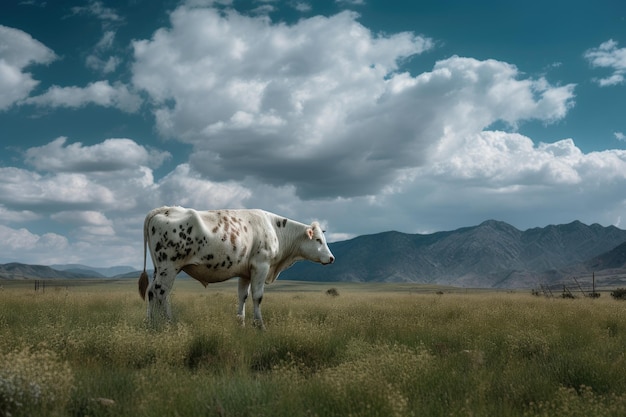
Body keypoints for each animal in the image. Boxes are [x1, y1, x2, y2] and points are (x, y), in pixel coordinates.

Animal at [136, 205, 332, 328]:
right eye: (318, 240)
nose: (331, 258)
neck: (275, 229)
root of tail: (166, 209)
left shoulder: (245, 272)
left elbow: (242, 296)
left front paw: (241, 323)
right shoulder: (261, 265)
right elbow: (258, 297)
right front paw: (260, 326)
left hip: (159, 268)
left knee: (154, 293)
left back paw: (150, 324)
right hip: (169, 266)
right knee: (160, 293)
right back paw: (167, 324)